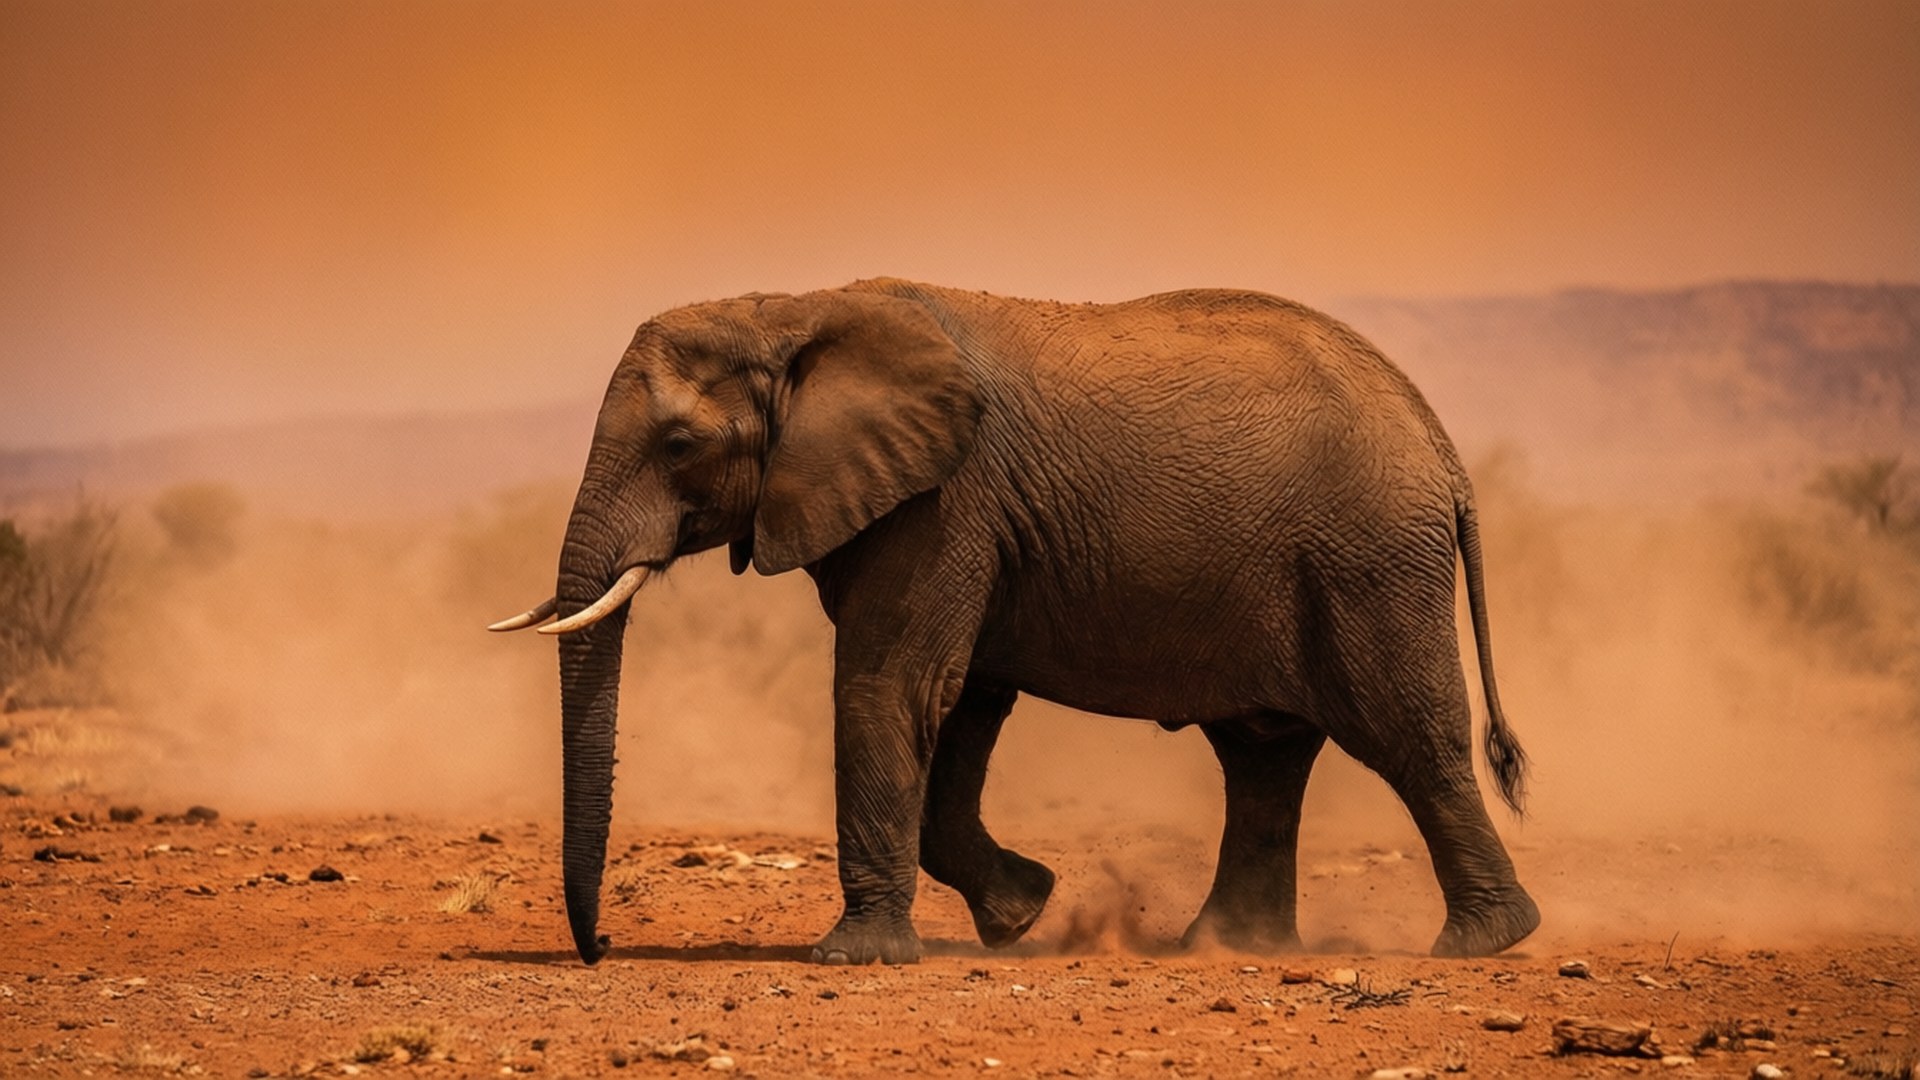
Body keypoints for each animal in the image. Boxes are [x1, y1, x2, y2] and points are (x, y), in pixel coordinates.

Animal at [490, 277, 1540, 966]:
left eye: (679, 446)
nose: (601, 946)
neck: (792, 308)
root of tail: (1441, 445)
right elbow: (959, 706)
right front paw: (1022, 913)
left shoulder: (945, 500)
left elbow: (894, 686)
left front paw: (858, 959)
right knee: (1262, 754)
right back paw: (1223, 947)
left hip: (1371, 562)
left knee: (1407, 740)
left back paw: (1480, 945)